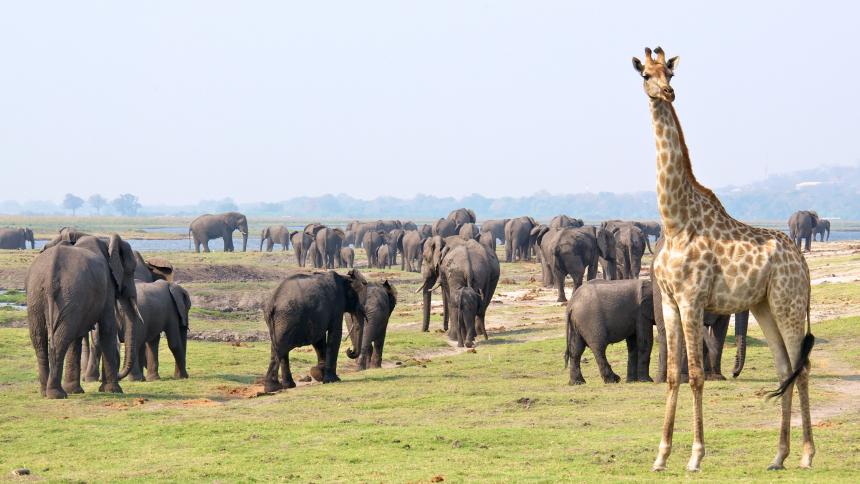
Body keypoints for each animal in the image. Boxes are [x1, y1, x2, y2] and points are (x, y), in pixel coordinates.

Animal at [25, 234, 141, 398]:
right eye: (131, 270)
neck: (106, 242)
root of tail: (50, 274)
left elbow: (78, 337)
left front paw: (75, 390)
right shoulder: (107, 285)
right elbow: (107, 328)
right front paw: (113, 390)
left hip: (36, 296)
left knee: (39, 338)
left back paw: (45, 393)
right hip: (67, 293)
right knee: (61, 338)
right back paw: (57, 394)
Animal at [636, 48, 816, 472]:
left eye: (669, 72)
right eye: (645, 75)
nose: (667, 92)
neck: (675, 221)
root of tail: (802, 262)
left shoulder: (692, 299)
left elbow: (696, 375)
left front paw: (695, 456)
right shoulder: (670, 302)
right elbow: (674, 376)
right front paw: (661, 456)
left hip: (788, 302)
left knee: (801, 367)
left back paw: (806, 454)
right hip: (766, 306)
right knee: (785, 367)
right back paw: (778, 456)